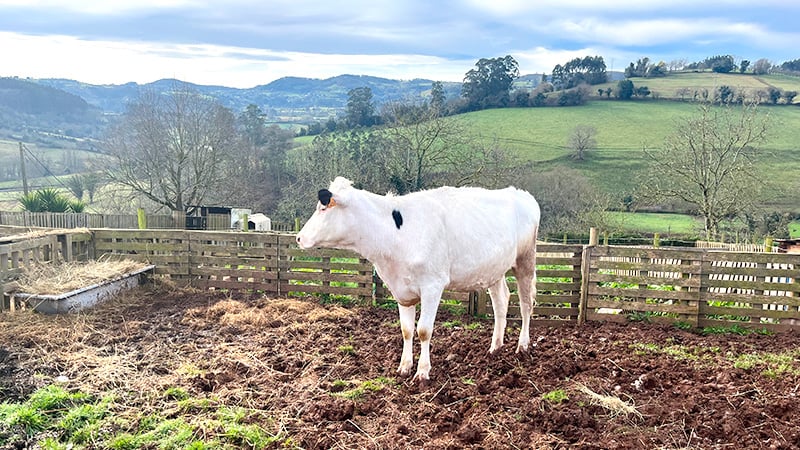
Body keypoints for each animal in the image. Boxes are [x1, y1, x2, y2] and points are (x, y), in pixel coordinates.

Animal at [296, 178, 540, 382]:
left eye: (323, 208)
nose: (298, 238)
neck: (395, 236)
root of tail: (521, 193)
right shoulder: (402, 290)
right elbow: (406, 330)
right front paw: (404, 367)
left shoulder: (433, 285)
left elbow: (423, 330)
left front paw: (422, 372)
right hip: (493, 269)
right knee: (501, 302)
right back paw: (495, 347)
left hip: (525, 260)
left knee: (526, 303)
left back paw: (523, 345)